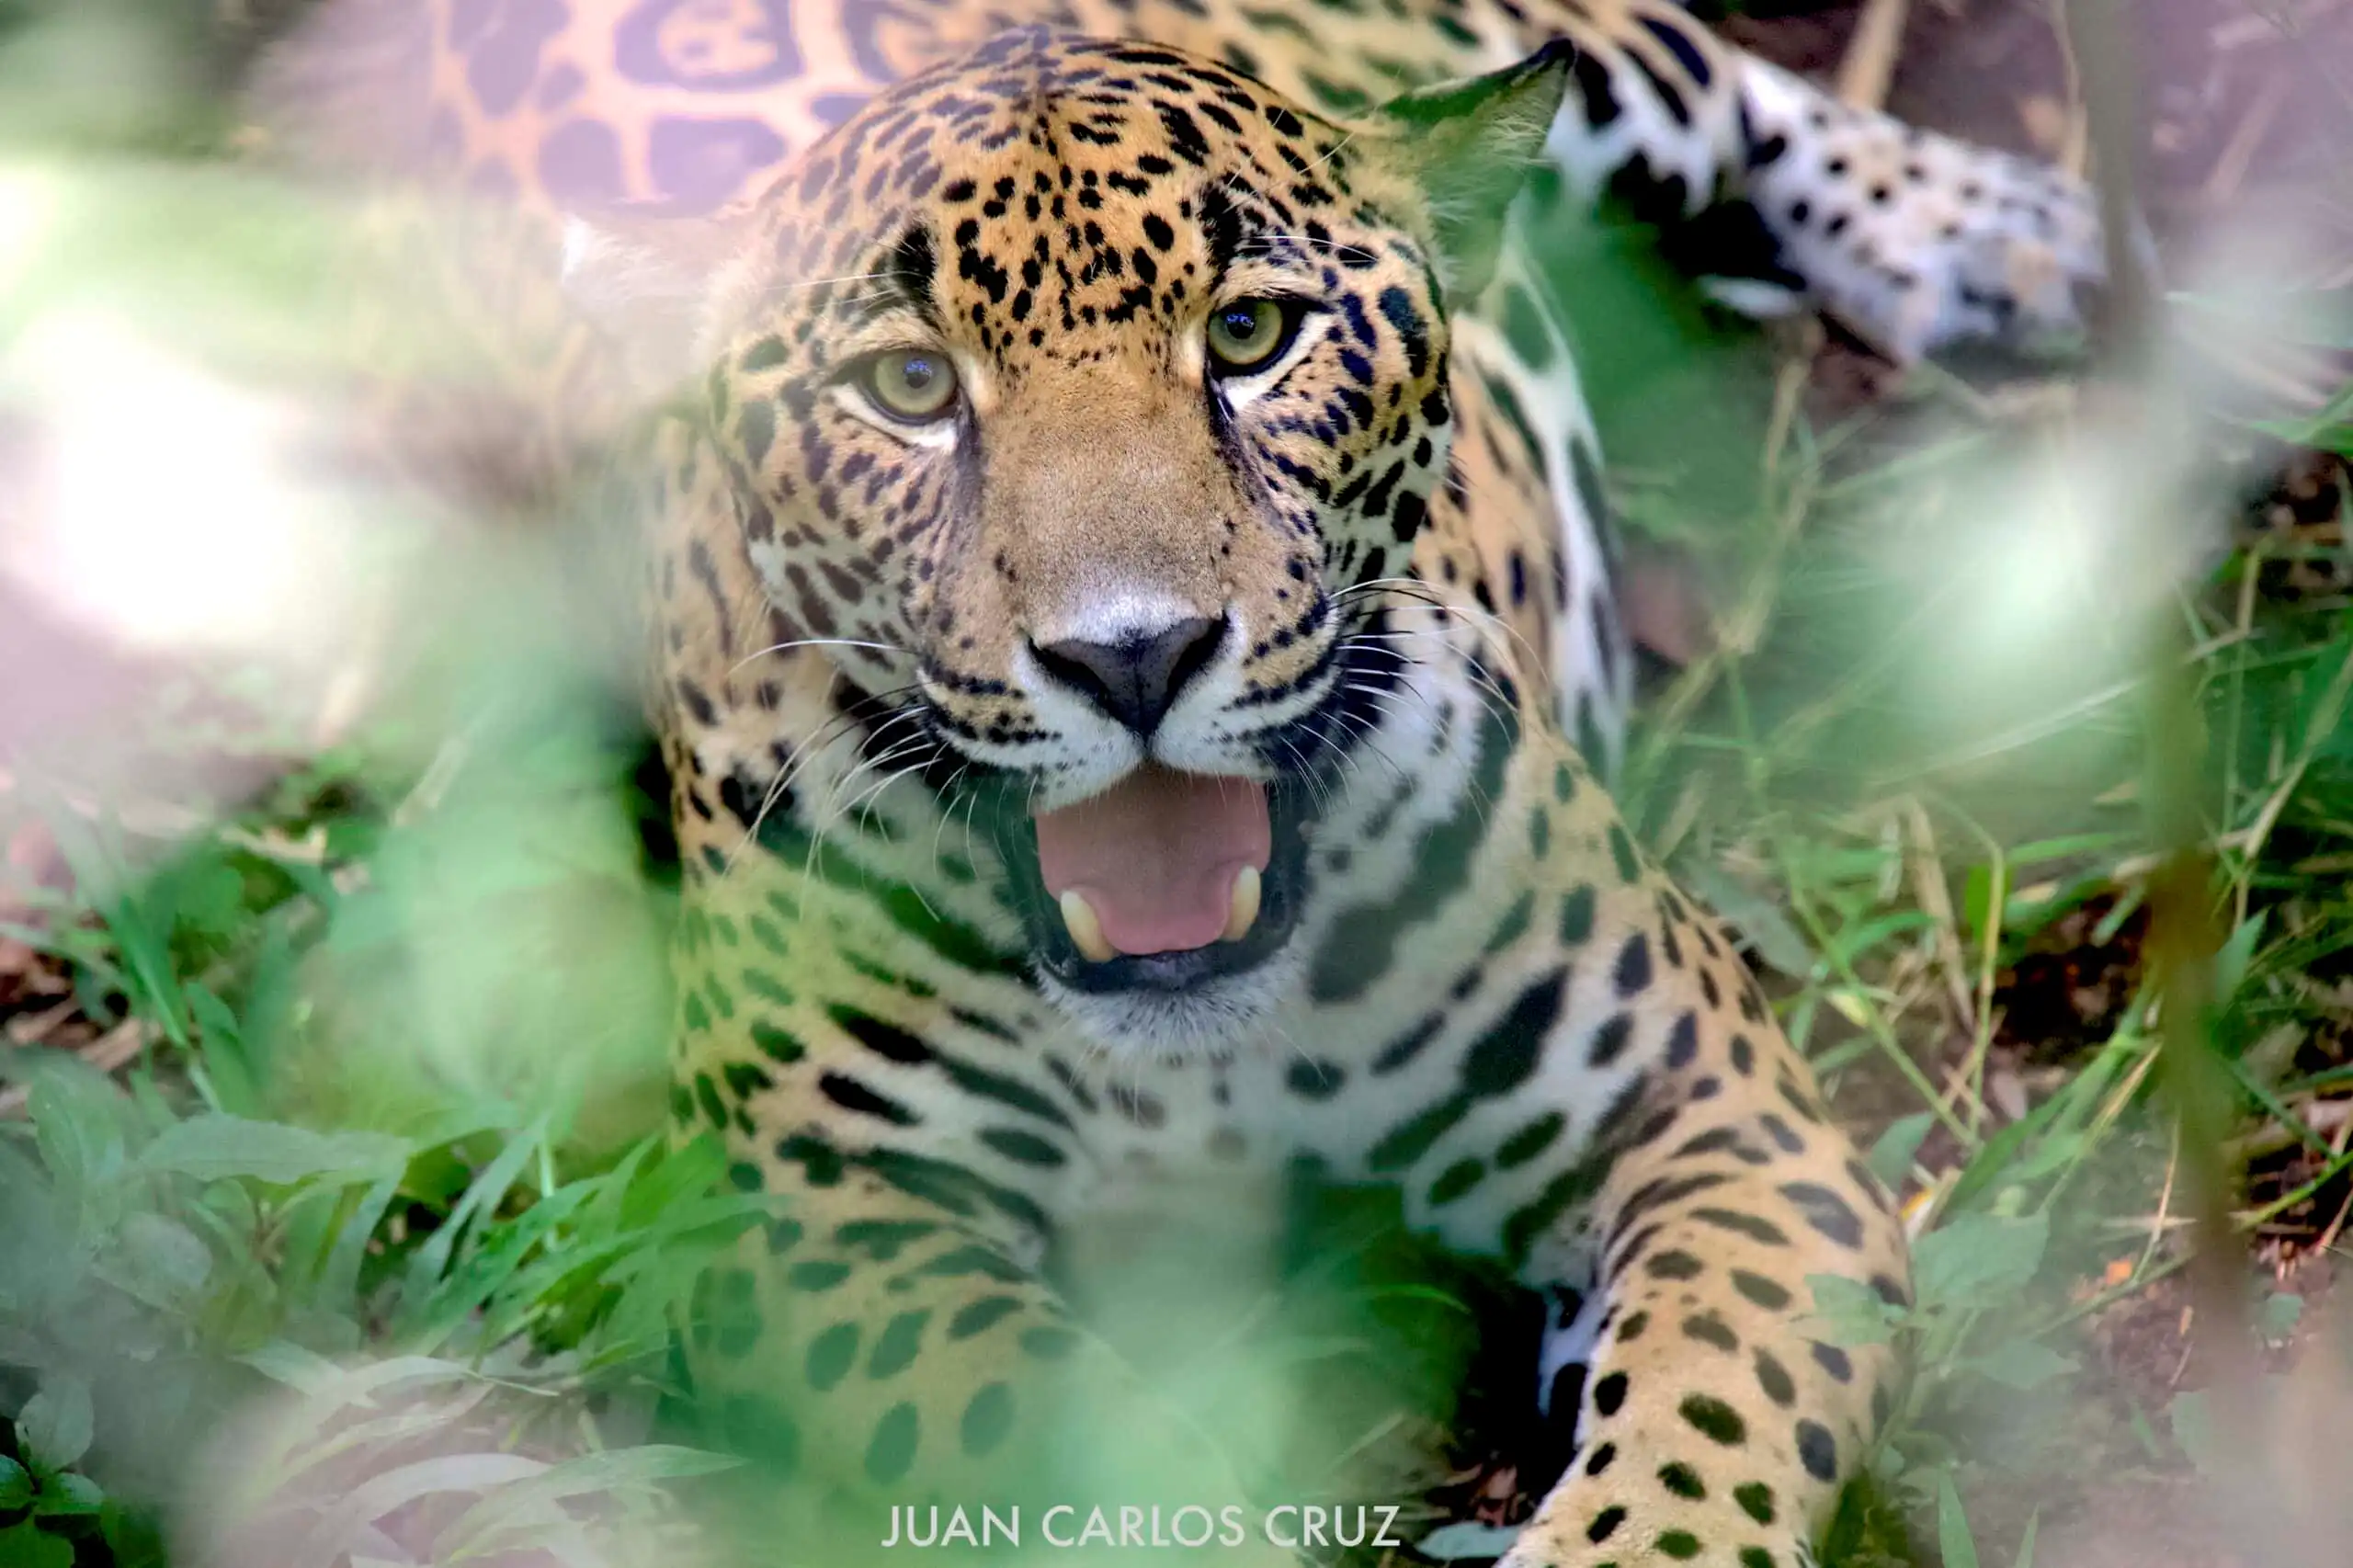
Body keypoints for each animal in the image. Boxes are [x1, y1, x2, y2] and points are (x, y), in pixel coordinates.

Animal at [253, 1, 2108, 1563]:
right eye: (908, 387)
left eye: (1253, 334)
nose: (1134, 655)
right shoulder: (828, 1231)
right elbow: (1065, 1448)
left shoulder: (1714, 1115)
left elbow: (1700, 1435)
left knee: (1715, 83)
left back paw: (1997, 236)